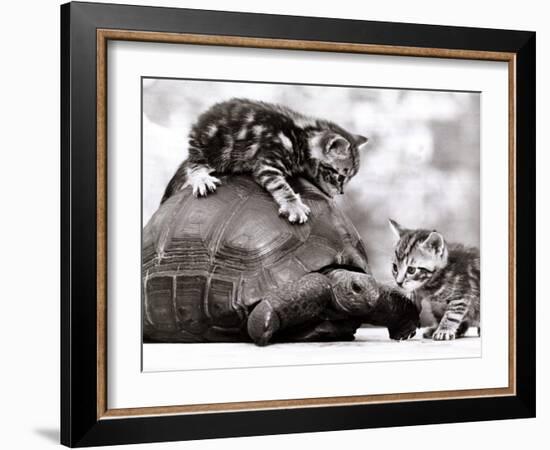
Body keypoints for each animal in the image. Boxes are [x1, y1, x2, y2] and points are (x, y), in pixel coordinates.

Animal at [162, 99, 368, 224]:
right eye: (341, 177)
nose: (341, 192)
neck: (302, 136)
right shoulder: (268, 163)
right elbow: (280, 185)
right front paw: (293, 205)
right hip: (209, 148)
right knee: (194, 165)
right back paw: (201, 178)